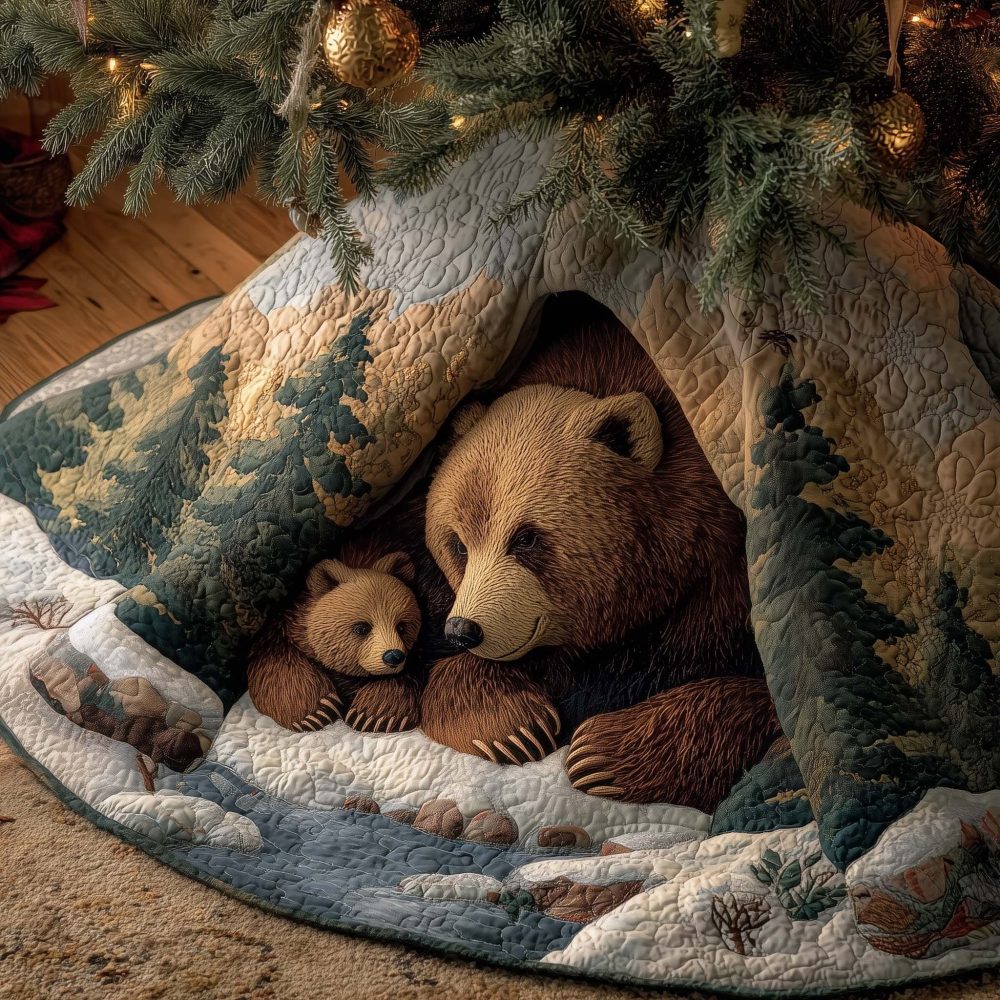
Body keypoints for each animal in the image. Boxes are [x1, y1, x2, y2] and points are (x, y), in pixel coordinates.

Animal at [246, 551, 424, 733]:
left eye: (401, 627)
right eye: (362, 628)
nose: (394, 656)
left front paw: (375, 715)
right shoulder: (281, 628)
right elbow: (276, 664)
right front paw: (318, 710)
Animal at [416, 294, 783, 812]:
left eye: (525, 537)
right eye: (457, 544)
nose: (464, 629)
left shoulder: (726, 586)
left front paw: (603, 753)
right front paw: (511, 724)